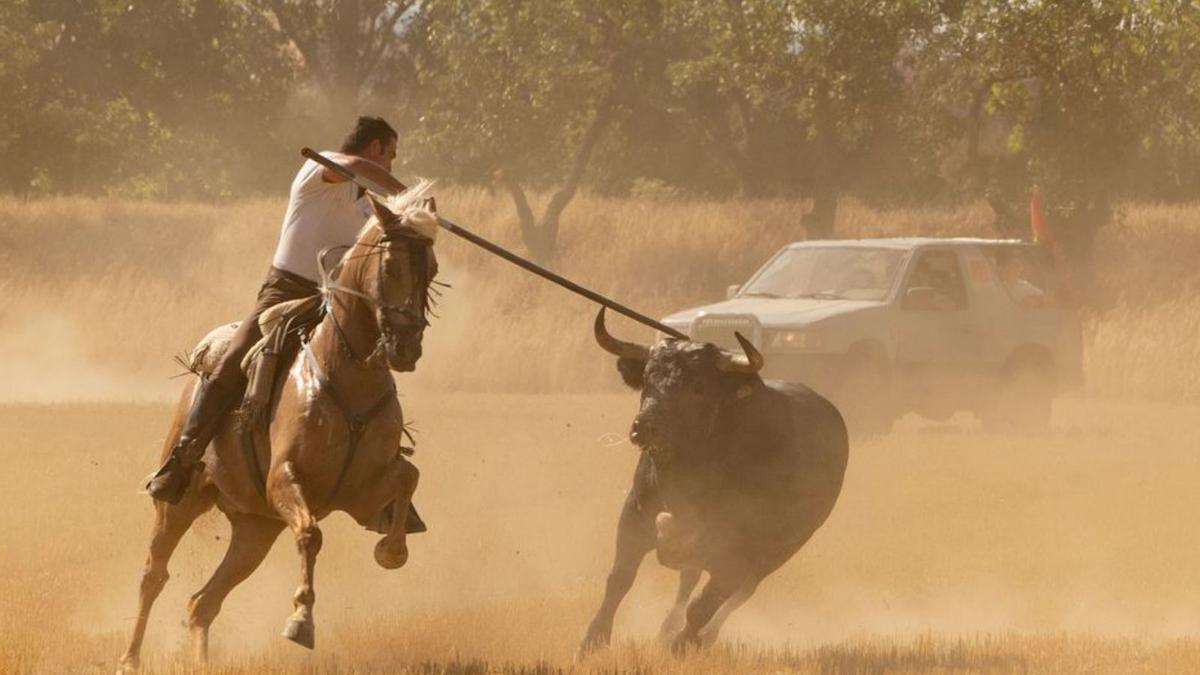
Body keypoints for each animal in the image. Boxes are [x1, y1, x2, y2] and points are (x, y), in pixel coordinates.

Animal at [118, 190, 441, 667]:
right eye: (389, 267)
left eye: (431, 270)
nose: (406, 347)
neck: (342, 373)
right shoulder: (286, 481)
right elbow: (310, 534)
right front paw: (301, 622)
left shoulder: (362, 494)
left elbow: (408, 476)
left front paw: (392, 550)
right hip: (179, 505)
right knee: (153, 575)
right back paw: (130, 659)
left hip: (256, 528)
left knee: (202, 603)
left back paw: (202, 663)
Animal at [578, 307, 844, 653]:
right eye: (648, 377)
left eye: (699, 386)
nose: (644, 426)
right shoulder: (636, 513)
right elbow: (619, 578)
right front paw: (592, 641)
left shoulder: (739, 550)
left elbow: (705, 604)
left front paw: (682, 645)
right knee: (689, 579)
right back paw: (667, 628)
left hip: (781, 551)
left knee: (739, 593)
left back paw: (704, 636)